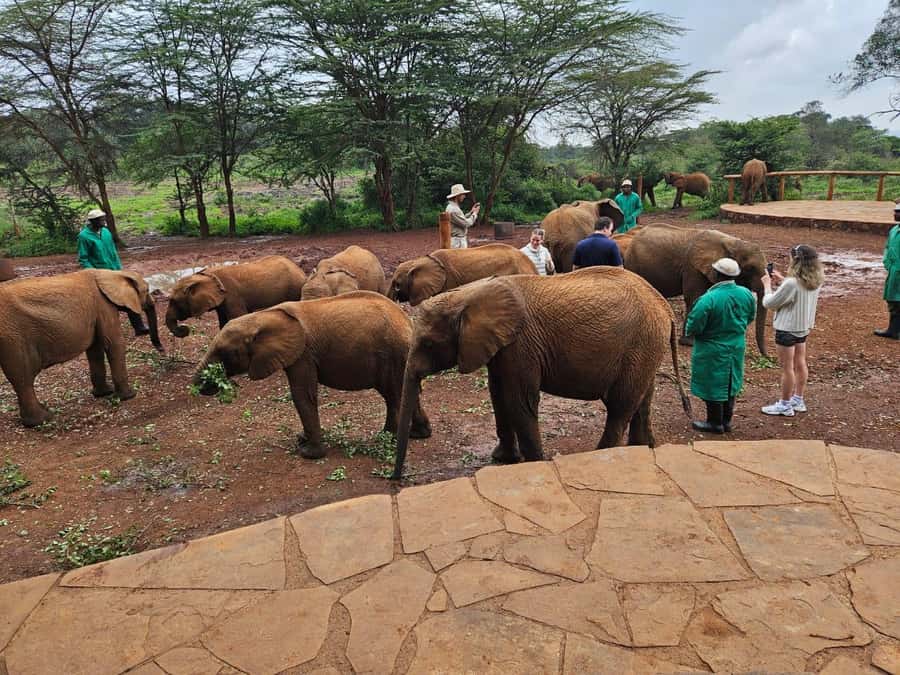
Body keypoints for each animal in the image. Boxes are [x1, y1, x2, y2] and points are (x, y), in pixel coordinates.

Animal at [0, 269, 162, 427]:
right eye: (147, 290)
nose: (161, 349)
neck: (111, 273)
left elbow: (95, 350)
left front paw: (104, 393)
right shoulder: (103, 305)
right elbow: (114, 344)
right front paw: (128, 396)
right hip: (13, 337)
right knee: (23, 379)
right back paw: (43, 420)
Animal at [166, 255, 306, 337]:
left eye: (174, 301)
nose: (185, 329)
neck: (205, 275)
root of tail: (300, 270)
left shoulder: (232, 296)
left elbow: (236, 319)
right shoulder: (222, 301)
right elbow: (223, 323)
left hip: (295, 289)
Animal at [194, 292, 431, 459]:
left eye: (224, 353)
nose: (205, 387)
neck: (263, 316)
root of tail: (408, 322)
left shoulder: (303, 354)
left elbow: (302, 395)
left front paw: (308, 453)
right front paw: (301, 440)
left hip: (392, 353)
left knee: (393, 395)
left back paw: (386, 438)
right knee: (403, 393)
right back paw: (418, 434)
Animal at [391, 268, 690, 478]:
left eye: (428, 345)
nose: (397, 478)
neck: (470, 294)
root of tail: (664, 306)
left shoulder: (521, 344)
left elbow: (518, 401)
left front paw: (533, 464)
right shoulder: (501, 346)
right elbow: (498, 395)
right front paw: (502, 458)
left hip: (641, 343)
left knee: (620, 405)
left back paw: (600, 455)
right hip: (647, 347)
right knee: (642, 399)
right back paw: (642, 448)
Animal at [624, 224, 769, 356]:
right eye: (750, 268)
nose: (767, 356)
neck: (732, 242)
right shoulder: (692, 267)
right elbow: (694, 297)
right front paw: (689, 343)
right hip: (633, 263)